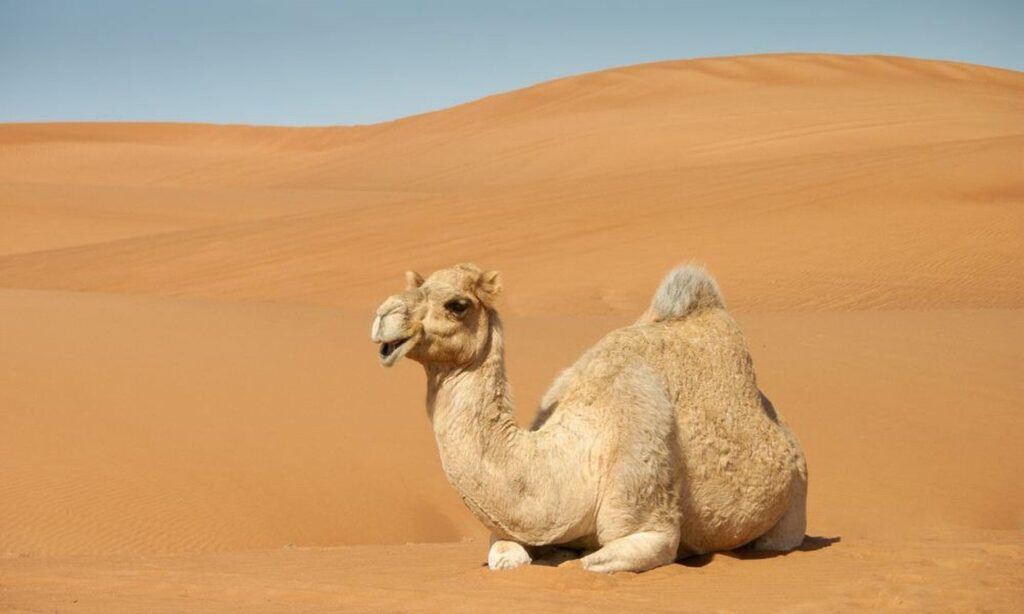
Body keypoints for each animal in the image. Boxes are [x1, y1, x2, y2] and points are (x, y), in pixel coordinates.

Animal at [371, 263, 807, 573]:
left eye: (457, 305)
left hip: (795, 500)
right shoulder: (513, 527)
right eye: (420, 284)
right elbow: (505, 555)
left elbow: (590, 563)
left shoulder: (648, 526)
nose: (382, 315)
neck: (573, 460)